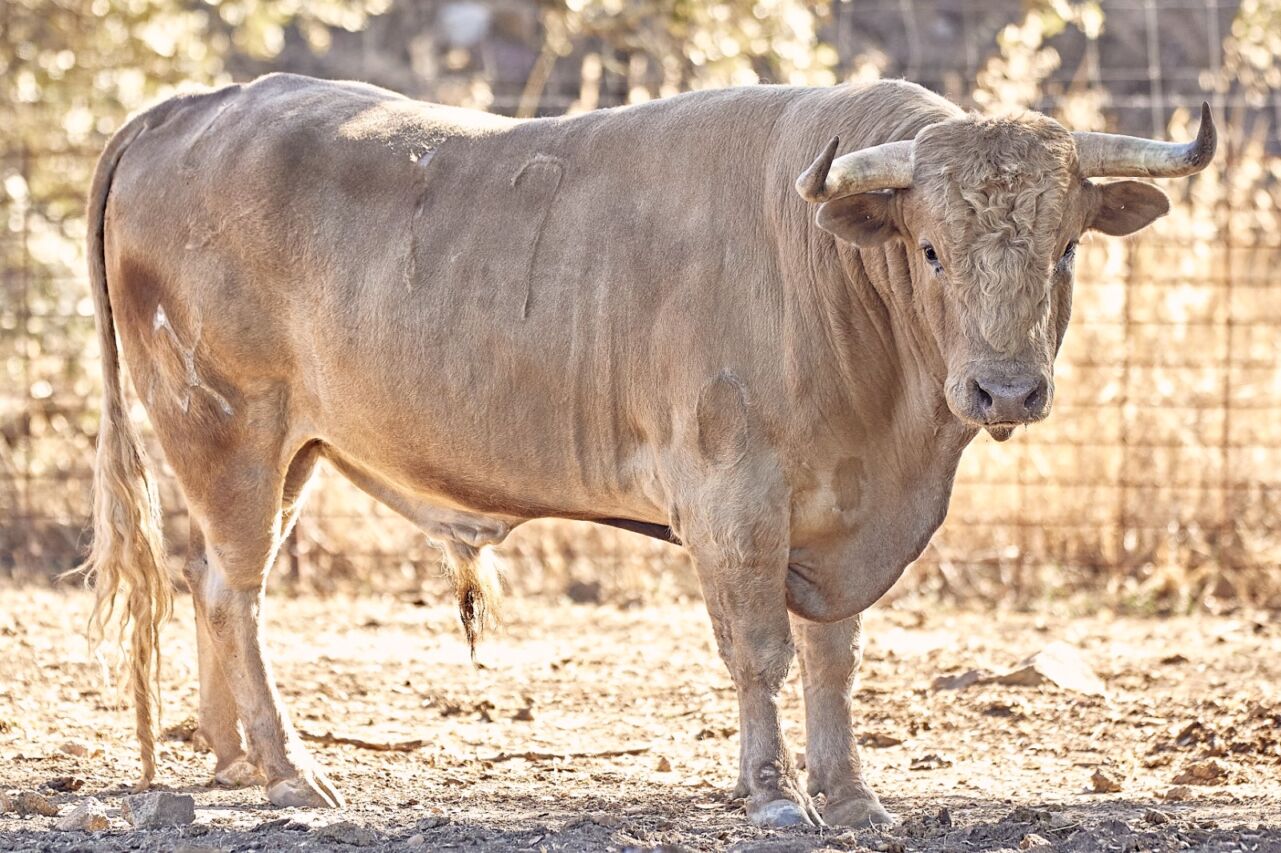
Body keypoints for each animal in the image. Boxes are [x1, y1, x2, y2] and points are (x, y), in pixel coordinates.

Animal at [80, 74, 1209, 824]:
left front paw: (850, 794)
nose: (1005, 389)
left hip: (292, 451)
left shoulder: (838, 522)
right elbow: (758, 649)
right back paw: (288, 768)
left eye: (1066, 246)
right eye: (930, 248)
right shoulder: (733, 499)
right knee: (235, 589)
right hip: (225, 426)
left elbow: (832, 657)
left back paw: (232, 758)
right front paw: (773, 796)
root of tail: (194, 107)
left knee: (208, 583)